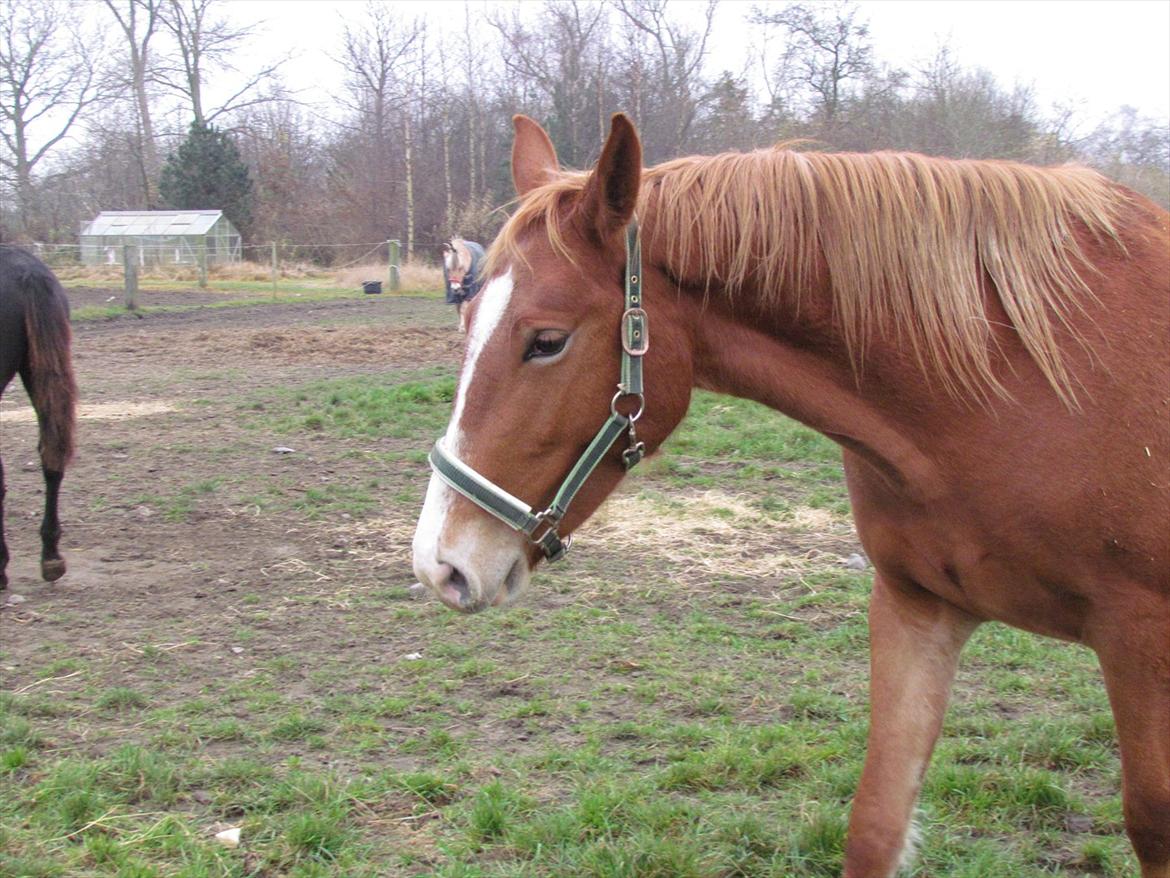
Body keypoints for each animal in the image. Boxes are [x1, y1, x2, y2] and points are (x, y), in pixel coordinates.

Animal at [411, 118, 1170, 878]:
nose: (439, 564)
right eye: (465, 317)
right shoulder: (917, 606)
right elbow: (875, 822)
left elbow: (1150, 819)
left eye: (546, 341)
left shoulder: (1140, 637)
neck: (1015, 382)